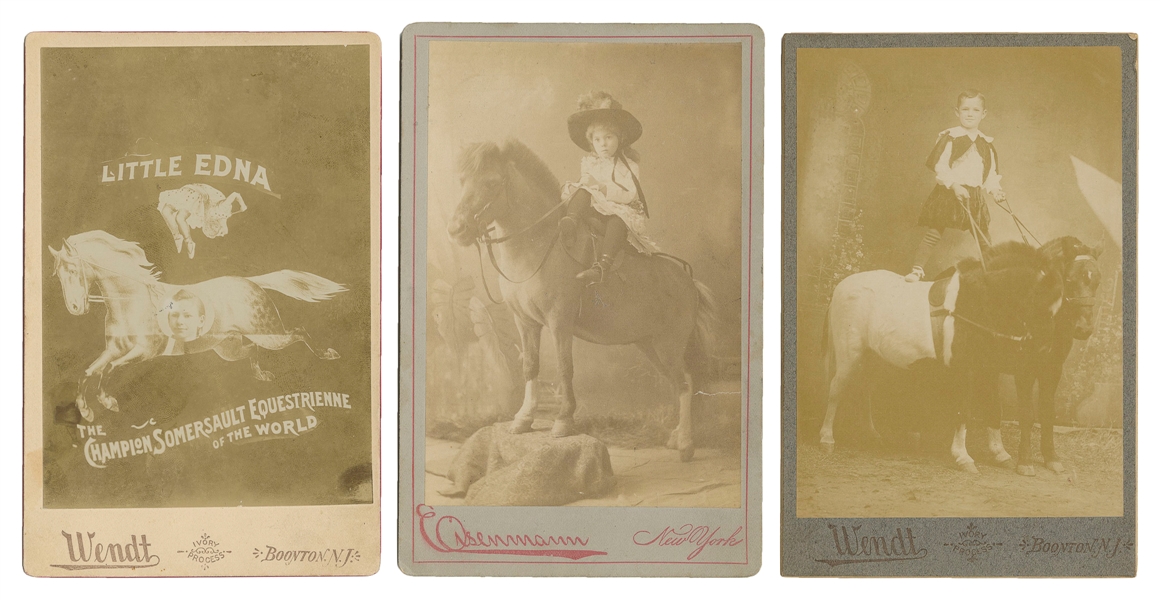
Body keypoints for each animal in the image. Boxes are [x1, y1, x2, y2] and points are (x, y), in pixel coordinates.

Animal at [49, 229, 345, 420]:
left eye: (73, 270)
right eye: (58, 274)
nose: (75, 308)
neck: (130, 300)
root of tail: (250, 282)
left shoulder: (145, 352)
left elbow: (109, 369)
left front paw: (107, 402)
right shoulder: (114, 349)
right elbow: (88, 371)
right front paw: (85, 410)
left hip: (267, 333)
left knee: (299, 331)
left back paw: (328, 354)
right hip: (227, 349)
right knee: (252, 350)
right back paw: (261, 375)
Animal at [450, 141, 714, 464]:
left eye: (491, 183)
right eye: (462, 181)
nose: (456, 229)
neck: (538, 245)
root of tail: (688, 281)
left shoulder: (559, 322)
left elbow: (565, 368)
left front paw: (563, 421)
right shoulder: (525, 323)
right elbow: (531, 366)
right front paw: (523, 419)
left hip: (669, 344)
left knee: (686, 383)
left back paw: (686, 443)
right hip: (650, 345)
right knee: (679, 383)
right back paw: (677, 437)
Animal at [816, 242, 1062, 473]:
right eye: (1041, 302)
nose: (1046, 350)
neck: (973, 301)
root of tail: (840, 287)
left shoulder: (984, 369)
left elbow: (988, 408)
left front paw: (994, 454)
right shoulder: (964, 369)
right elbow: (964, 411)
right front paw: (963, 457)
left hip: (870, 356)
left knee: (864, 388)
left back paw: (871, 434)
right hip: (849, 354)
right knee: (836, 388)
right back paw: (827, 438)